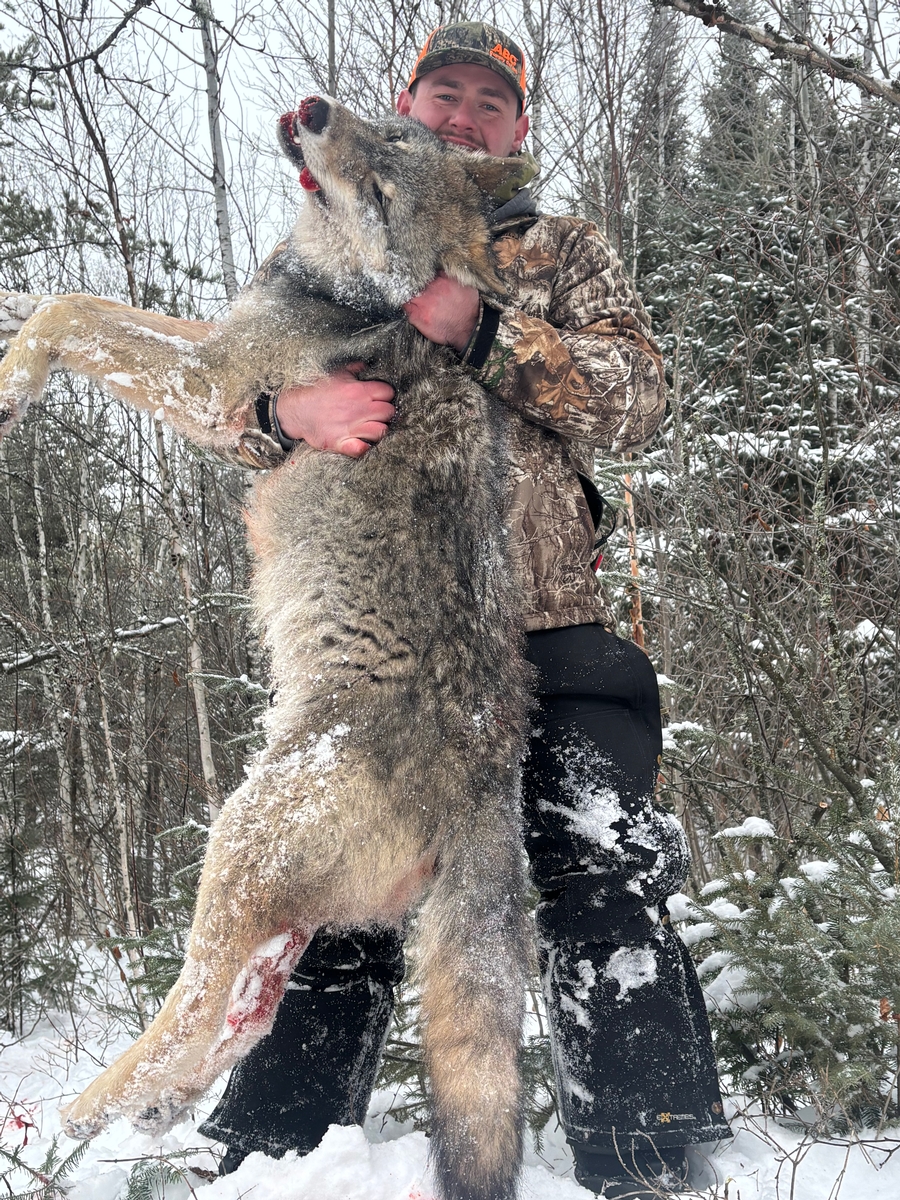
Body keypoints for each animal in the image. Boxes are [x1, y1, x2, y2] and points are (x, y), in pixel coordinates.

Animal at [0, 97, 531, 1200]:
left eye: (383, 187)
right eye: (385, 127)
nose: (315, 110)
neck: (330, 285)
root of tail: (485, 772)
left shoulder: (212, 388)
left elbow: (73, 312)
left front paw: (9, 388)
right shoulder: (215, 349)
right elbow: (63, 295)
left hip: (236, 852)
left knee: (197, 1009)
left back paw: (75, 1124)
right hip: (281, 908)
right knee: (233, 1025)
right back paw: (134, 1125)